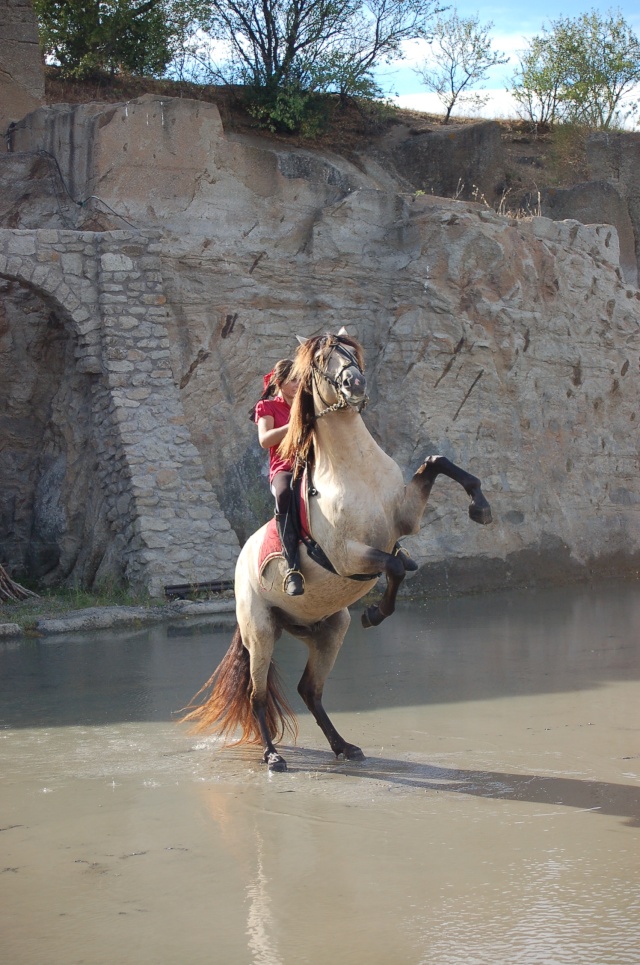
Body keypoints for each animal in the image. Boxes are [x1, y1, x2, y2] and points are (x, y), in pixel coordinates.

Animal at [182, 332, 492, 768]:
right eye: (320, 362)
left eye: (349, 351)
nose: (355, 383)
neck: (356, 468)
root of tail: (242, 562)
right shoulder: (349, 556)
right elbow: (394, 567)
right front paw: (376, 613)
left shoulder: (405, 518)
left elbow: (437, 462)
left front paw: (480, 506)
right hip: (260, 630)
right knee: (257, 694)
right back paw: (273, 756)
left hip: (328, 628)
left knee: (309, 690)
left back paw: (343, 746)